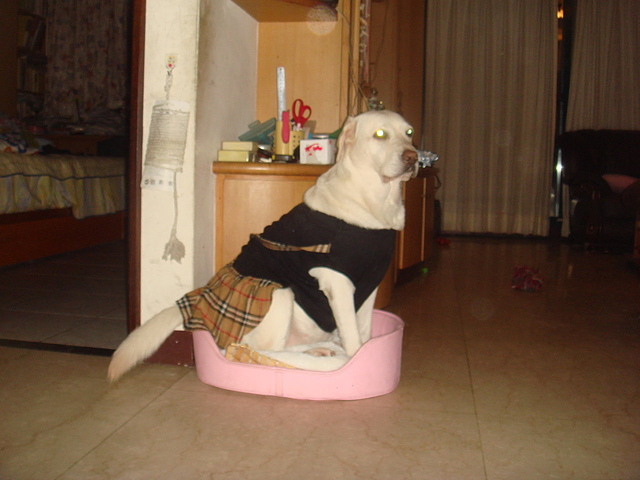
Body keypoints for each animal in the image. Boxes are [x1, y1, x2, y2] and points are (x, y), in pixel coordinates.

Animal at [108, 110, 419, 382]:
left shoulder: (369, 284)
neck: (375, 202)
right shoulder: (337, 281)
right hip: (280, 293)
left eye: (410, 133)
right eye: (380, 134)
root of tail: (198, 297)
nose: (413, 157)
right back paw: (315, 355)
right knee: (256, 351)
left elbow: (363, 332)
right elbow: (353, 339)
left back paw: (319, 350)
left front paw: (367, 350)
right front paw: (356, 361)